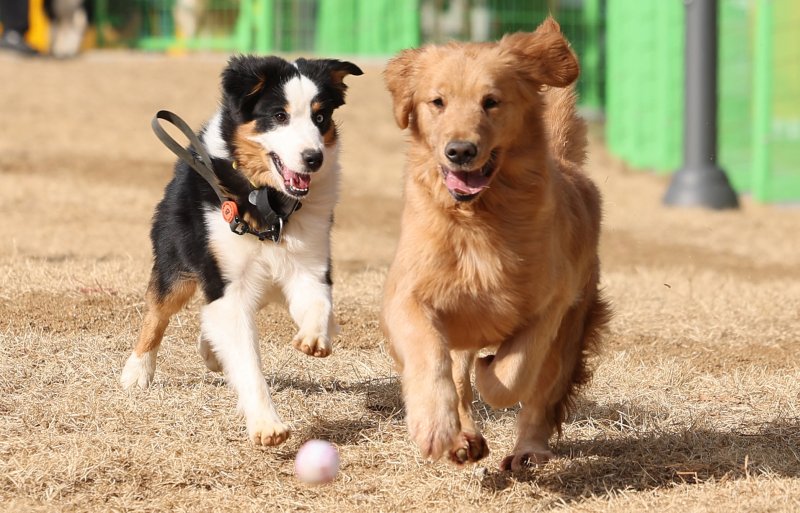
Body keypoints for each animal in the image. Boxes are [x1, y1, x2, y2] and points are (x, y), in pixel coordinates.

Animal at [121, 53, 362, 444]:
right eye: (279, 115)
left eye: (320, 117)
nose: (314, 158)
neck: (268, 202)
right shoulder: (227, 281)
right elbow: (247, 361)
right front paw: (267, 424)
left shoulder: (309, 264)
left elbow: (319, 303)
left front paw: (314, 337)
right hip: (177, 264)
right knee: (158, 313)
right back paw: (137, 371)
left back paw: (210, 352)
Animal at [382, 18, 612, 470]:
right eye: (437, 102)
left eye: (491, 101)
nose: (460, 151)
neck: (478, 220)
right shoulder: (405, 296)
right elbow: (431, 357)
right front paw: (435, 427)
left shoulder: (549, 305)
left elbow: (512, 375)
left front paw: (491, 368)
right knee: (458, 376)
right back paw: (463, 439)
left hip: (574, 325)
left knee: (543, 392)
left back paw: (528, 452)